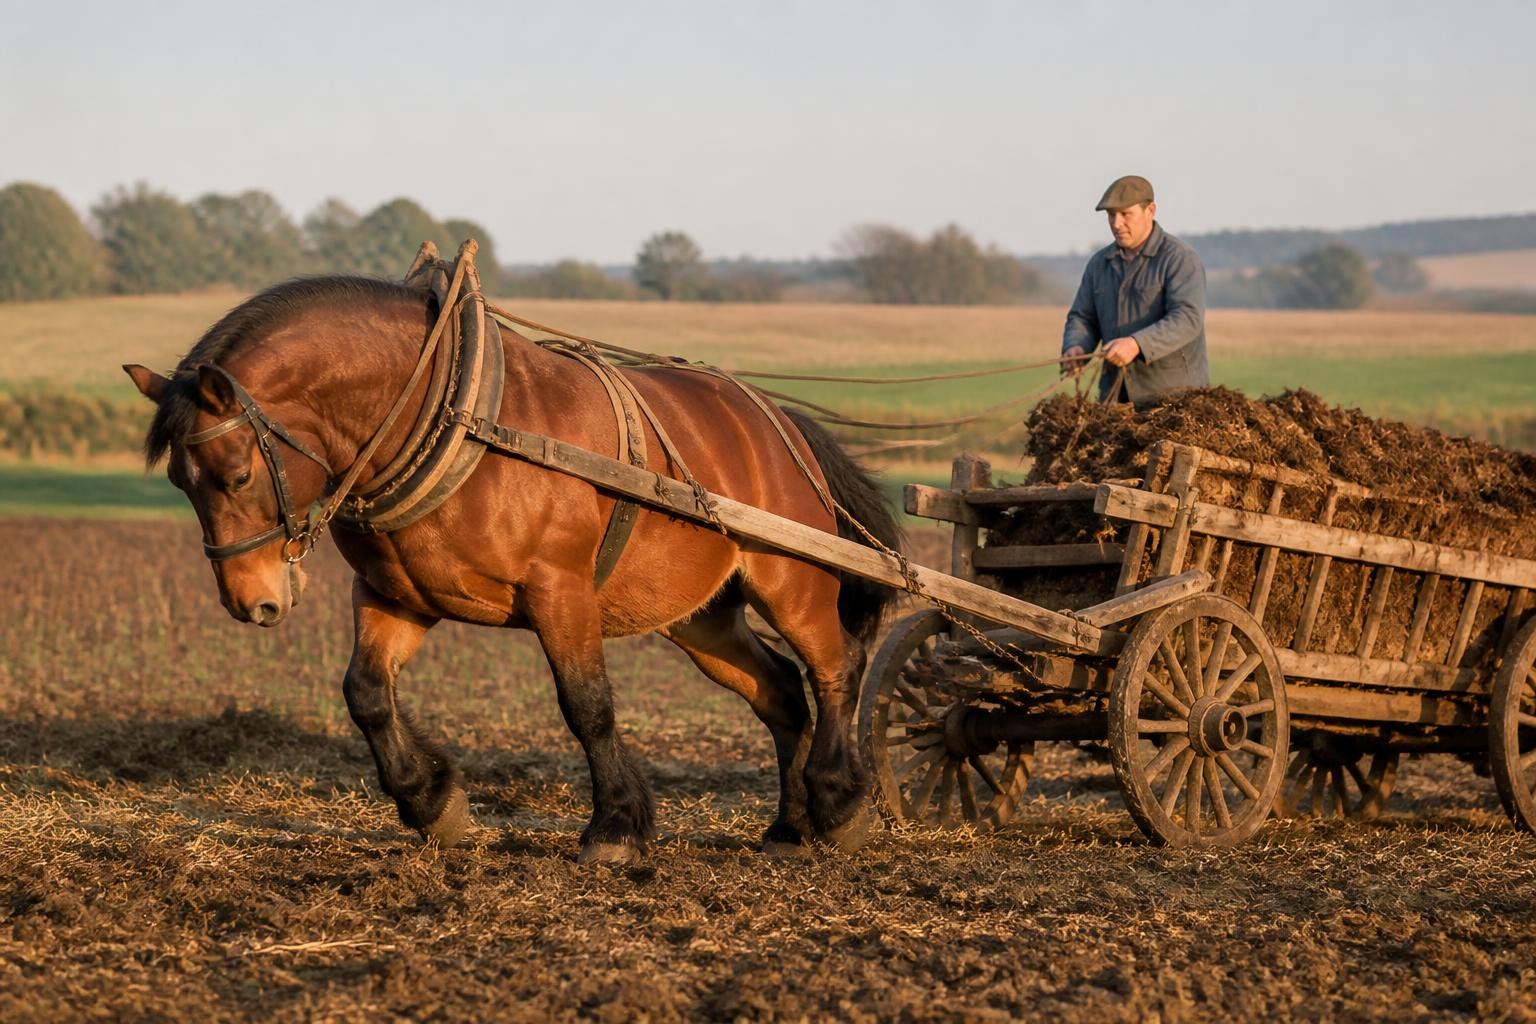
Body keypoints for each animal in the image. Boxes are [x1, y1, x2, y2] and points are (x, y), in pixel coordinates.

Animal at [123, 273, 902, 863]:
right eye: (180, 483)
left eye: (235, 474)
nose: (250, 601)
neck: (451, 416)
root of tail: (771, 416)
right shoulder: (395, 593)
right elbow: (366, 693)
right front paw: (432, 803)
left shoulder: (560, 591)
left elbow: (587, 706)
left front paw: (616, 828)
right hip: (702, 617)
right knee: (781, 691)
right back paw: (790, 826)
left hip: (790, 581)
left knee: (834, 670)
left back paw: (840, 804)